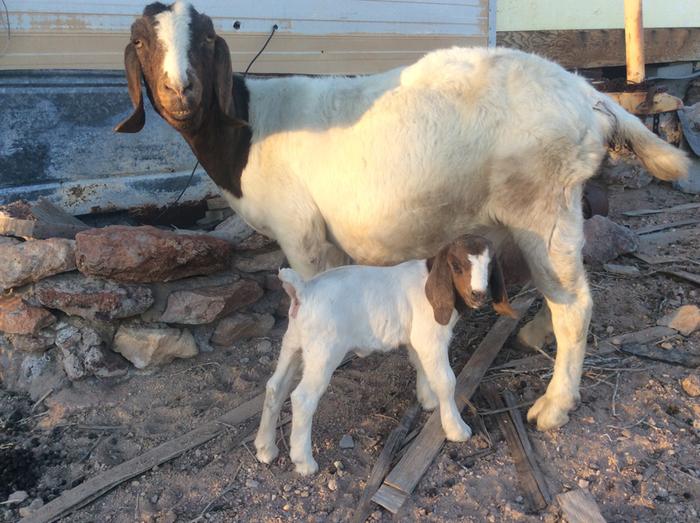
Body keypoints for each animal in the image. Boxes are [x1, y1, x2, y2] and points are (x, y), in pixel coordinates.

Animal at [256, 235, 516, 476]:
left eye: (490, 265)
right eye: (457, 266)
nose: (478, 294)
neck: (430, 280)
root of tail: (303, 290)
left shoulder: (417, 340)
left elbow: (421, 365)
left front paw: (427, 400)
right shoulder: (431, 339)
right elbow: (446, 382)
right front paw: (456, 429)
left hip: (293, 343)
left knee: (275, 387)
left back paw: (265, 449)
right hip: (323, 351)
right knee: (303, 398)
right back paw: (304, 462)